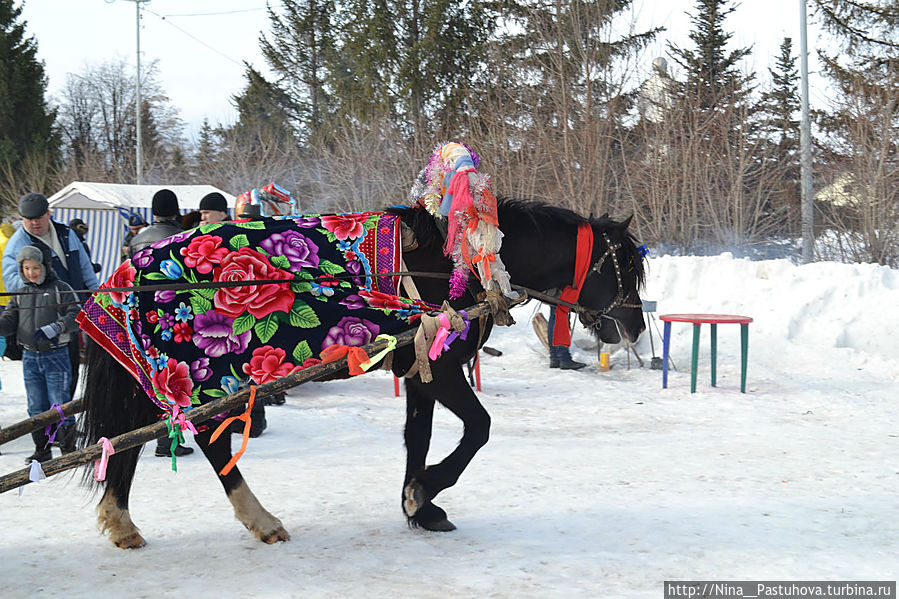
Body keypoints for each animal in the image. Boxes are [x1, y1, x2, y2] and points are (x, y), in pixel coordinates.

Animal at [75, 200, 640, 548]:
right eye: (627, 270)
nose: (632, 327)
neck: (460, 264)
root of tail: (125, 270)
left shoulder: (419, 370)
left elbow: (418, 436)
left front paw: (419, 506)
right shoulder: (443, 366)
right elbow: (478, 429)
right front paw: (424, 492)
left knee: (130, 443)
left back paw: (124, 523)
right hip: (202, 374)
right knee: (198, 445)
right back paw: (257, 519)